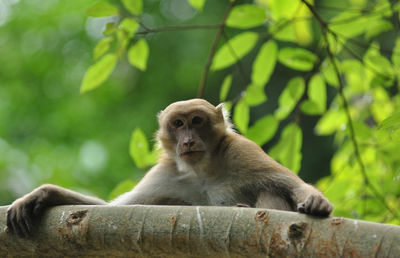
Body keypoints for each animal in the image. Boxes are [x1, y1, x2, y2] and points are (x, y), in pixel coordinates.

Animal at [6, 99, 332, 238]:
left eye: (196, 121)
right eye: (178, 123)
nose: (187, 140)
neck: (203, 169)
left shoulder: (242, 152)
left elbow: (289, 183)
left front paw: (316, 201)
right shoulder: (166, 174)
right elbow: (114, 210)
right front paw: (44, 194)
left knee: (270, 189)